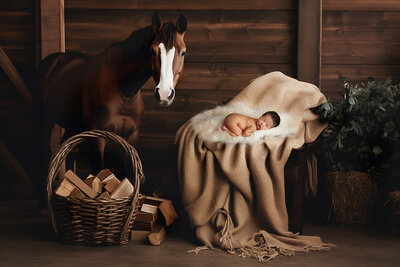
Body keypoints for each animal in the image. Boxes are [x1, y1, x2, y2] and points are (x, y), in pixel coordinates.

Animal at [33, 12, 187, 202]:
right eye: (152, 50)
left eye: (183, 52)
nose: (165, 94)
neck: (123, 90)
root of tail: (52, 61)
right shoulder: (97, 136)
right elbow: (97, 170)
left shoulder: (131, 137)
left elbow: (129, 173)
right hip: (44, 119)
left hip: (73, 126)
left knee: (69, 150)